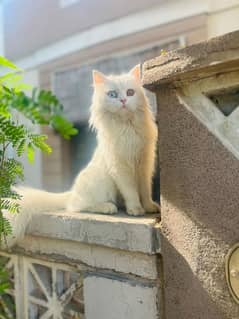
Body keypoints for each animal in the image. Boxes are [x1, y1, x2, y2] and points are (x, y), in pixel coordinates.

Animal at [3, 64, 159, 248]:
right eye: (112, 94)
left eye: (130, 92)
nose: (123, 101)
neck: (127, 128)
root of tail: (72, 192)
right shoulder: (120, 167)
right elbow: (131, 191)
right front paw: (135, 209)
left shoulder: (144, 163)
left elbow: (145, 190)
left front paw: (149, 207)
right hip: (102, 182)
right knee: (76, 206)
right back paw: (108, 207)